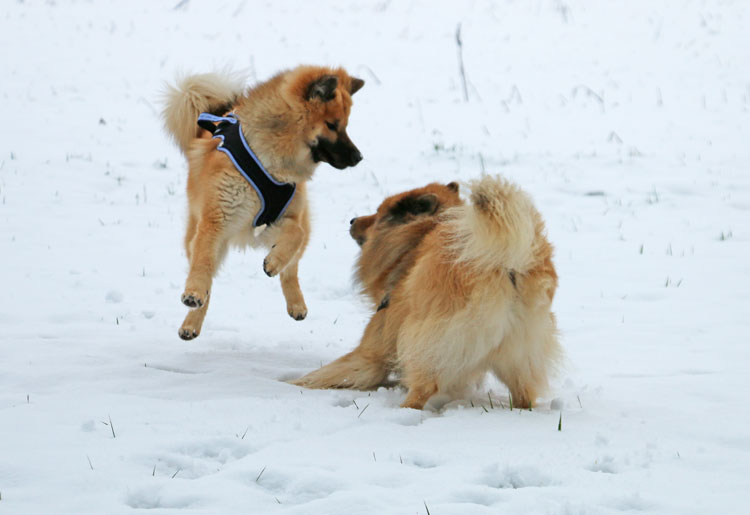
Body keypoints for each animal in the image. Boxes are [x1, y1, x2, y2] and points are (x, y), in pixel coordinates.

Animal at [163, 66, 366, 340]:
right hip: (199, 234)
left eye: (345, 125)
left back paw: (295, 302)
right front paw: (194, 293)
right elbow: (202, 263)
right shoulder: (217, 220)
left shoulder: (277, 218)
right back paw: (191, 322)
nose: (358, 157)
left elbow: (295, 235)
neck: (270, 159)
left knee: (292, 267)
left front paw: (273, 262)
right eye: (332, 125)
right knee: (207, 277)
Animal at [296, 177, 564, 412]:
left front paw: (294, 383)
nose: (353, 220)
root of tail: (506, 262)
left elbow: (330, 372)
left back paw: (403, 411)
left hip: (427, 338)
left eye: (379, 214)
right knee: (524, 394)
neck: (417, 238)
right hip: (520, 354)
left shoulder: (373, 350)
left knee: (424, 387)